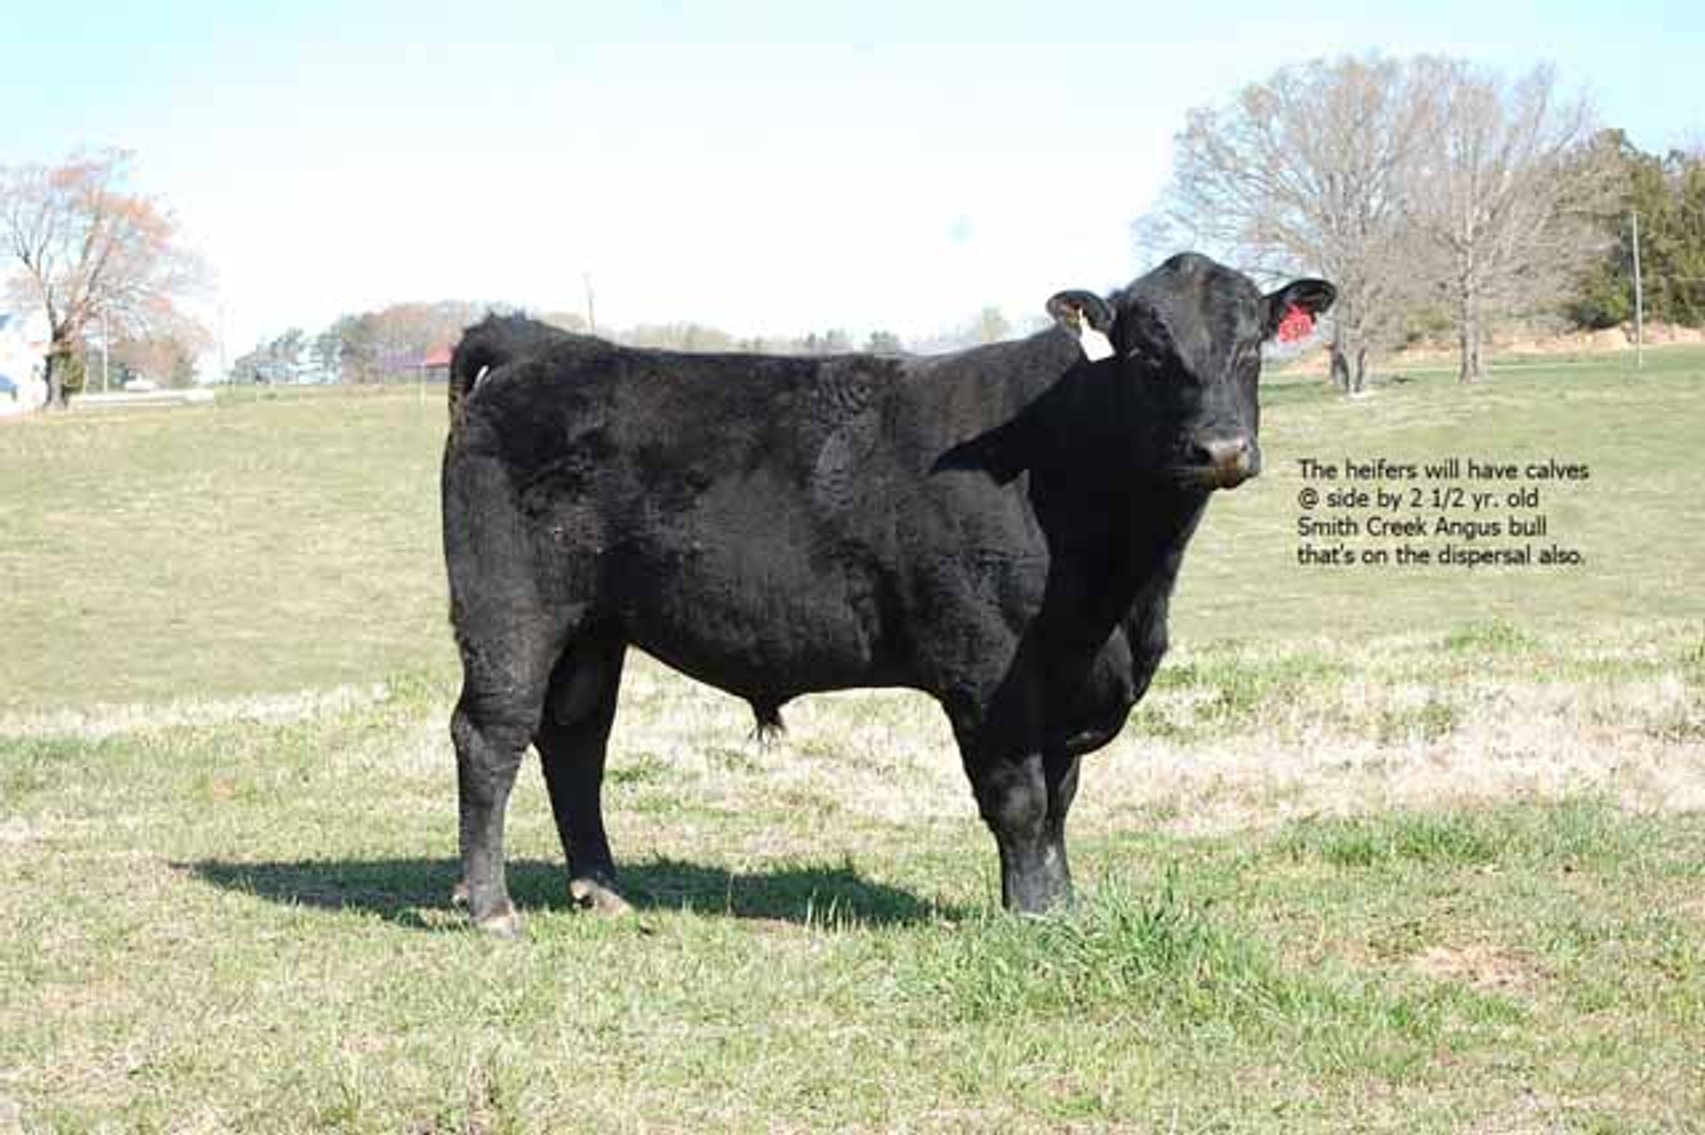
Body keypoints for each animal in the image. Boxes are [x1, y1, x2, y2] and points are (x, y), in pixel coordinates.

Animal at [442, 253, 1334, 935]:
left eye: (1252, 346)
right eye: (1147, 354)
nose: (1221, 447)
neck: (1124, 600)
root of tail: (541, 343)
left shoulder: (1070, 679)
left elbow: (1061, 800)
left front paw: (1063, 907)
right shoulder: (990, 672)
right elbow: (1020, 800)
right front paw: (1028, 916)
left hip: (595, 626)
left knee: (575, 740)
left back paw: (602, 889)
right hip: (511, 611)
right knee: (491, 735)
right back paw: (492, 908)